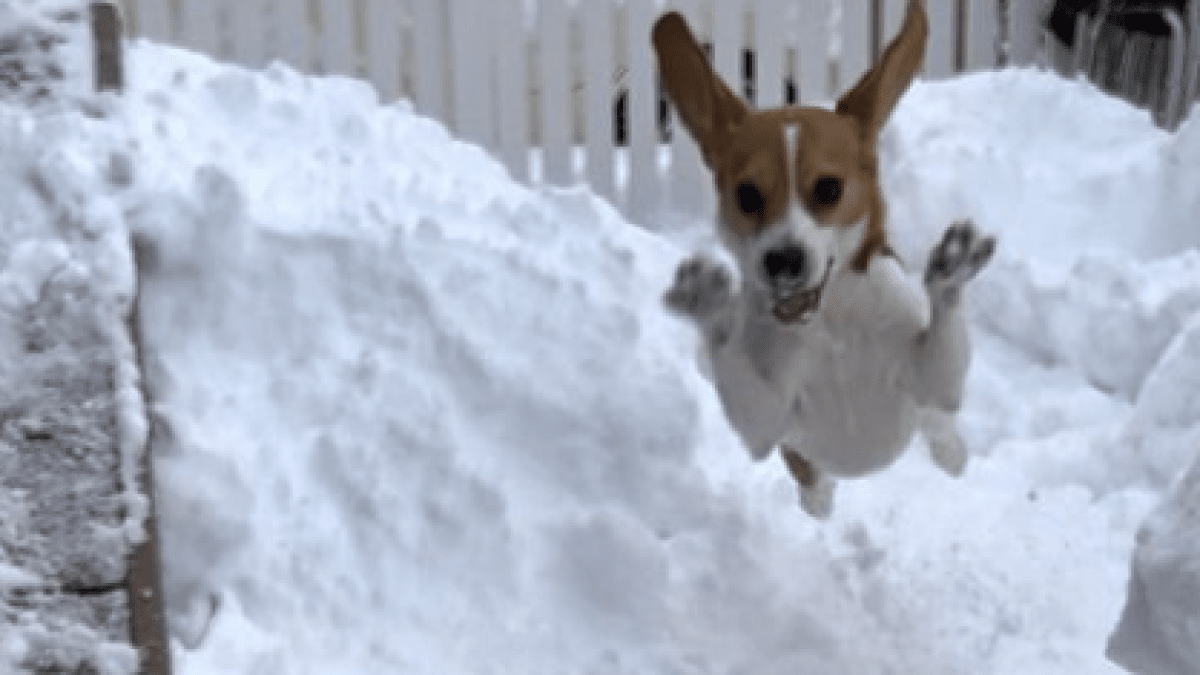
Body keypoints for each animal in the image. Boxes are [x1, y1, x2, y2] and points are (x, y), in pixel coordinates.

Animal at [657, 0, 993, 514]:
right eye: (748, 195)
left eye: (828, 188)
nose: (783, 261)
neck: (833, 323)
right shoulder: (769, 425)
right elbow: (751, 403)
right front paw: (708, 304)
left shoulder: (925, 375)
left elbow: (939, 361)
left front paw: (950, 272)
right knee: (814, 486)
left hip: (935, 415)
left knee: (942, 433)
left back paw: (950, 450)